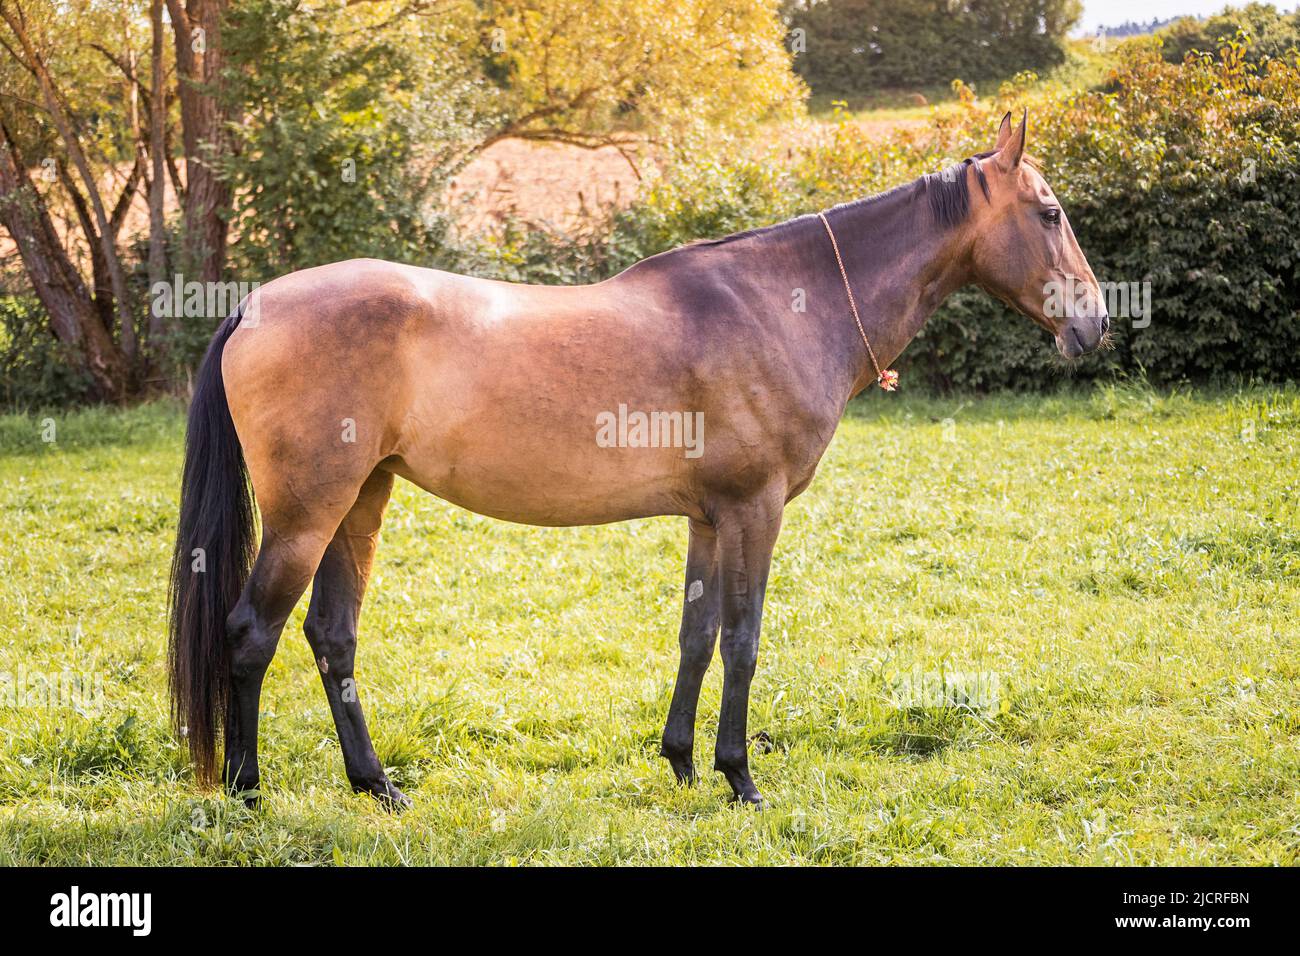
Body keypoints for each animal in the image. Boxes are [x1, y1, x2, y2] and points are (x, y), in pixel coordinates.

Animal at [168, 111, 1108, 809]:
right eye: (1051, 212)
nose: (1095, 323)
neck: (781, 302)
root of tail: (254, 306)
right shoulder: (754, 510)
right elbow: (744, 640)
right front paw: (741, 778)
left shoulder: (708, 518)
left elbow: (696, 638)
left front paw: (684, 762)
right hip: (307, 515)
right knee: (252, 634)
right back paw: (249, 791)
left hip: (359, 502)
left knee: (332, 636)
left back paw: (377, 786)